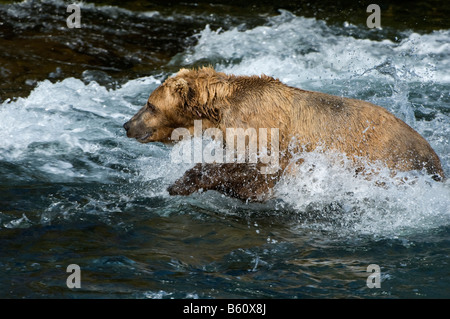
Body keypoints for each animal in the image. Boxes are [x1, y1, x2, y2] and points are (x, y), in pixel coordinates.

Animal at [122, 67, 442, 201]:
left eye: (149, 104)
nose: (126, 125)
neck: (218, 112)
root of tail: (435, 158)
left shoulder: (265, 131)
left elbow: (256, 174)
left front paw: (181, 183)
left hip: (387, 159)